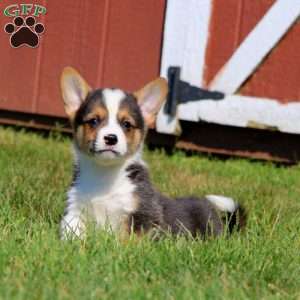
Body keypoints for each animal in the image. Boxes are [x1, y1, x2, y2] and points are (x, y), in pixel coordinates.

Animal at [60, 67, 246, 239]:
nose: (111, 138)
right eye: (93, 121)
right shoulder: (75, 211)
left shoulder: (143, 216)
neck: (104, 174)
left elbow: (127, 239)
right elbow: (70, 231)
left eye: (126, 124)